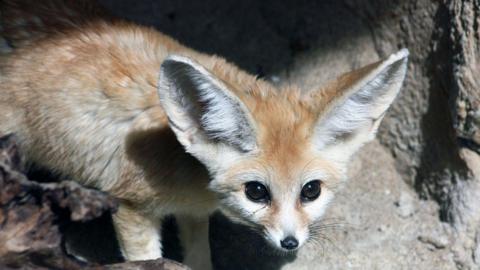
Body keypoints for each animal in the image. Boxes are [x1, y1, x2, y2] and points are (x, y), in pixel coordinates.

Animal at [0, 1, 408, 268]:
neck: (185, 165)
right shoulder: (130, 207)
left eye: (311, 191)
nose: (290, 241)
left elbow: (200, 257)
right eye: (256, 191)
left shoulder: (193, 212)